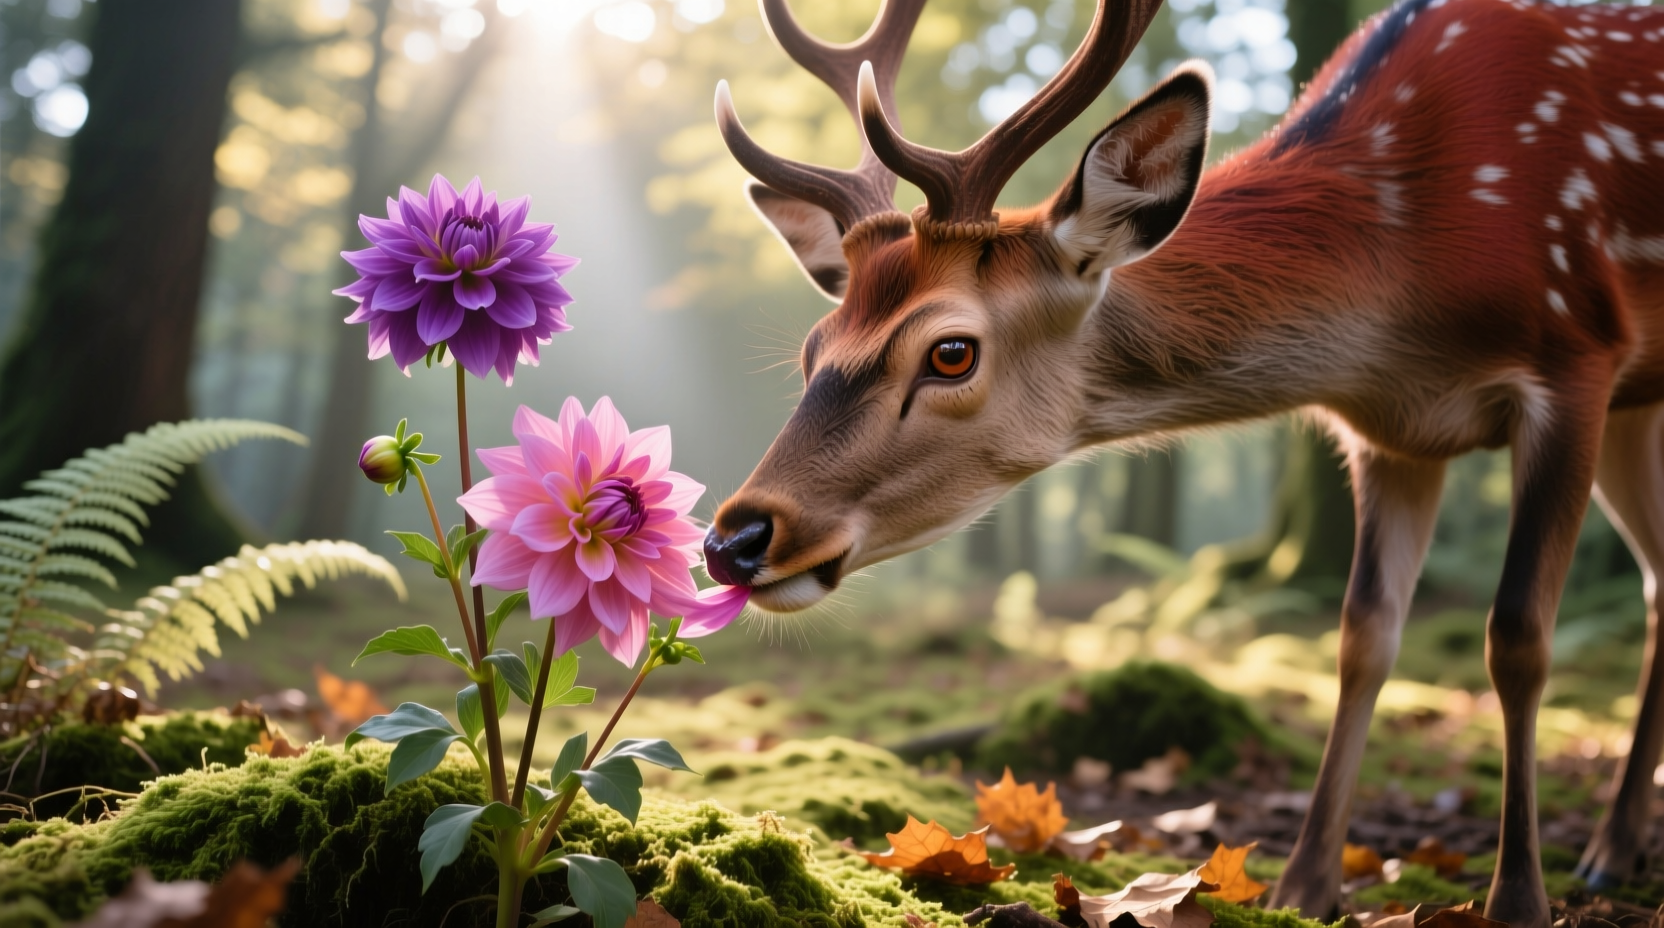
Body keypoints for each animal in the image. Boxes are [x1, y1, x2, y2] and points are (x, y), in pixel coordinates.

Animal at [698, 0, 1664, 922]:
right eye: (813, 348)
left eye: (951, 352)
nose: (734, 539)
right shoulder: (1389, 431)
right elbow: (1363, 636)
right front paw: (1302, 890)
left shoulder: (1576, 357)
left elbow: (1518, 637)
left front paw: (1518, 900)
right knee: (1659, 578)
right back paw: (1614, 848)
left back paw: (1598, 856)